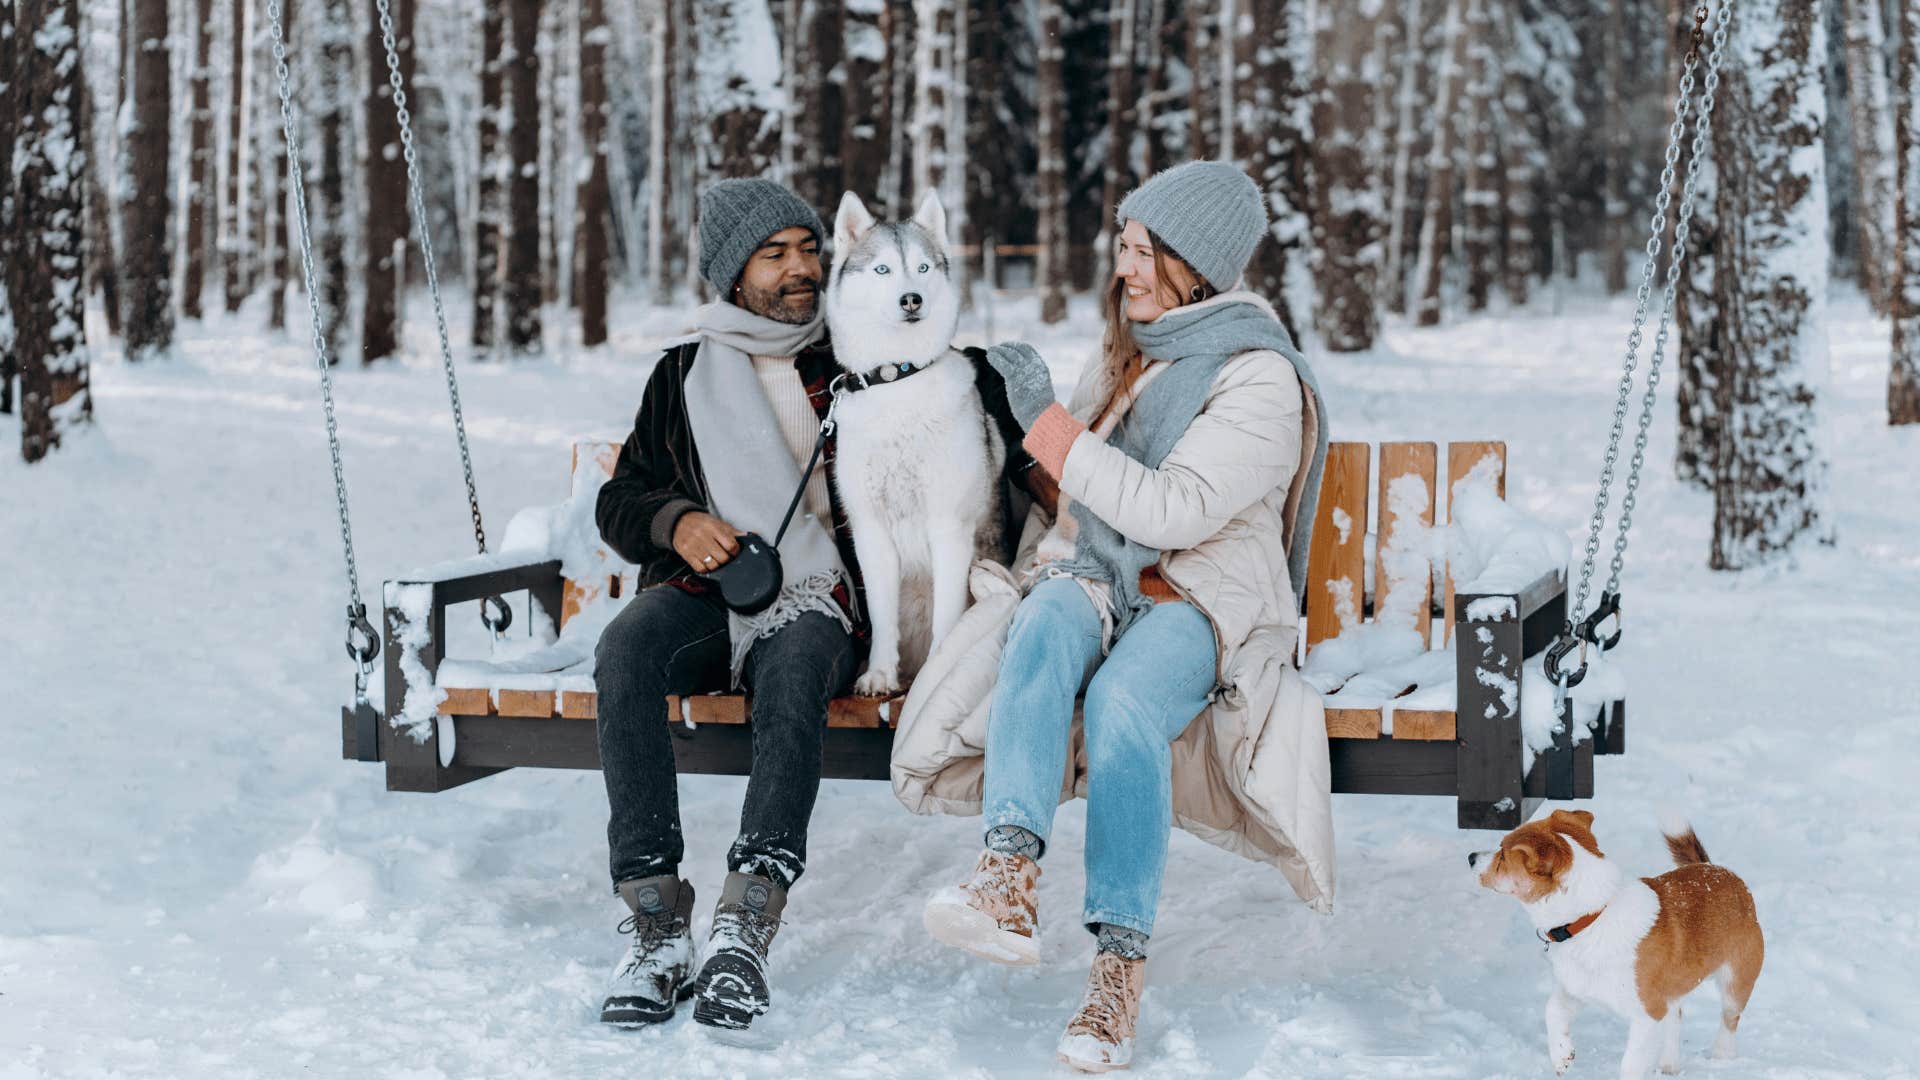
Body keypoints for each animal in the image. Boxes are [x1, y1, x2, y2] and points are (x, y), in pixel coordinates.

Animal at [825, 191, 1006, 699]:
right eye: (883, 269)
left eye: (923, 268)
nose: (912, 298)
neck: (897, 380)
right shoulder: (870, 532)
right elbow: (883, 618)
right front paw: (880, 675)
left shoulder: (948, 528)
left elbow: (948, 618)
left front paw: (933, 675)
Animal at [1466, 807, 1766, 1076]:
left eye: (1502, 854)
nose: (1470, 857)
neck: (1593, 917)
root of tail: (1717, 869)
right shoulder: (1579, 989)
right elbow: (1552, 1010)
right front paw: (1561, 1055)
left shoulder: (1647, 1015)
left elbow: (1630, 1065)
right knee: (1676, 1017)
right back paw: (1669, 1065)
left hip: (1736, 981)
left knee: (1729, 1019)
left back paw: (1722, 1057)